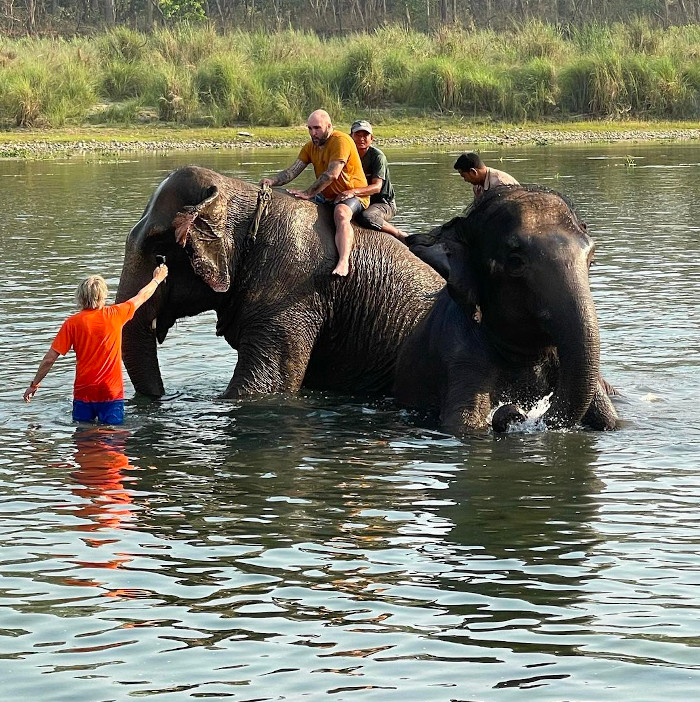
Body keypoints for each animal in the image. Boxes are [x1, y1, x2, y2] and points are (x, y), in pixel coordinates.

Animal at [394, 184, 616, 432]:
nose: (518, 413)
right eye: (516, 262)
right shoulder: (459, 356)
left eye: (591, 260)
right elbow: (464, 425)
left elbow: (612, 420)